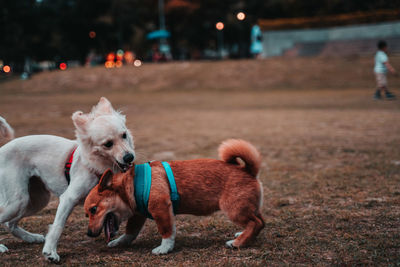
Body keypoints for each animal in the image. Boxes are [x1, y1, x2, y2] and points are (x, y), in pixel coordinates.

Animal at [0, 97, 135, 262]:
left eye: (124, 135)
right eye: (108, 144)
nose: (129, 157)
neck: (99, 165)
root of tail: (2, 149)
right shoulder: (68, 198)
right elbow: (58, 226)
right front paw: (50, 252)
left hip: (36, 200)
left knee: (9, 224)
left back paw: (31, 238)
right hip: (17, 201)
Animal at [84, 140, 264, 255]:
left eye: (94, 209)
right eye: (86, 214)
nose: (89, 233)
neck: (132, 183)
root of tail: (248, 171)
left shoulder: (161, 209)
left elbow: (166, 232)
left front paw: (164, 249)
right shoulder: (138, 215)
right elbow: (130, 232)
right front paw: (119, 242)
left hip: (234, 210)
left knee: (256, 223)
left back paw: (237, 243)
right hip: (245, 208)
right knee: (259, 221)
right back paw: (242, 236)